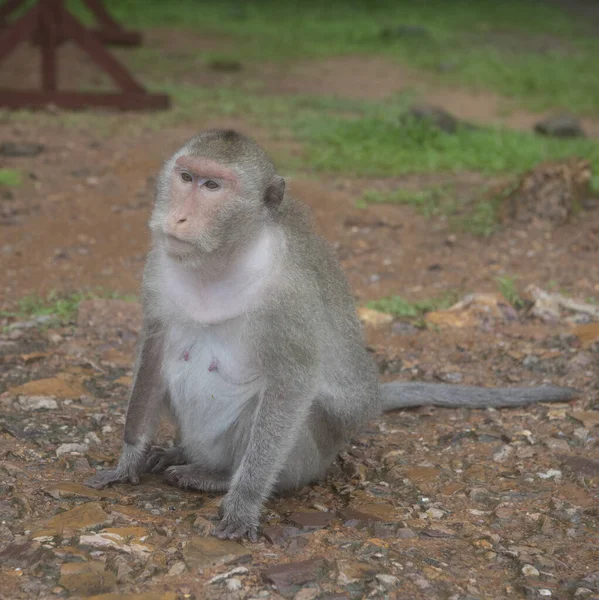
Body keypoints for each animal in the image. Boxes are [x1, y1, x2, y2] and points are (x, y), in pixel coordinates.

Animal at [84, 129, 576, 540]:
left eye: (213, 187)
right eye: (186, 177)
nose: (179, 219)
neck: (221, 259)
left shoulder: (291, 296)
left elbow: (293, 384)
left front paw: (243, 504)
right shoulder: (157, 267)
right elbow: (154, 350)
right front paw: (128, 461)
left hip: (310, 458)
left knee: (281, 409)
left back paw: (215, 476)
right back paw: (179, 455)